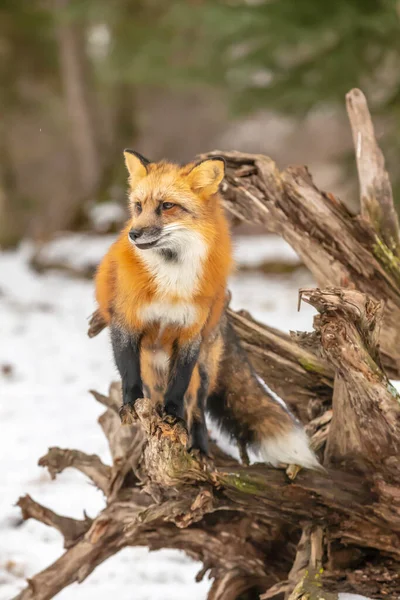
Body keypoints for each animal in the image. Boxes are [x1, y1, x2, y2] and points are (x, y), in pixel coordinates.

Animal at [94, 151, 318, 468]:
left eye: (167, 206)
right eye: (138, 206)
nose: (134, 234)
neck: (171, 282)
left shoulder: (190, 333)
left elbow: (179, 388)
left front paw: (173, 416)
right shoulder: (127, 323)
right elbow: (128, 372)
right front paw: (130, 405)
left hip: (203, 369)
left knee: (197, 408)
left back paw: (198, 447)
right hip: (153, 368)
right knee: (156, 394)